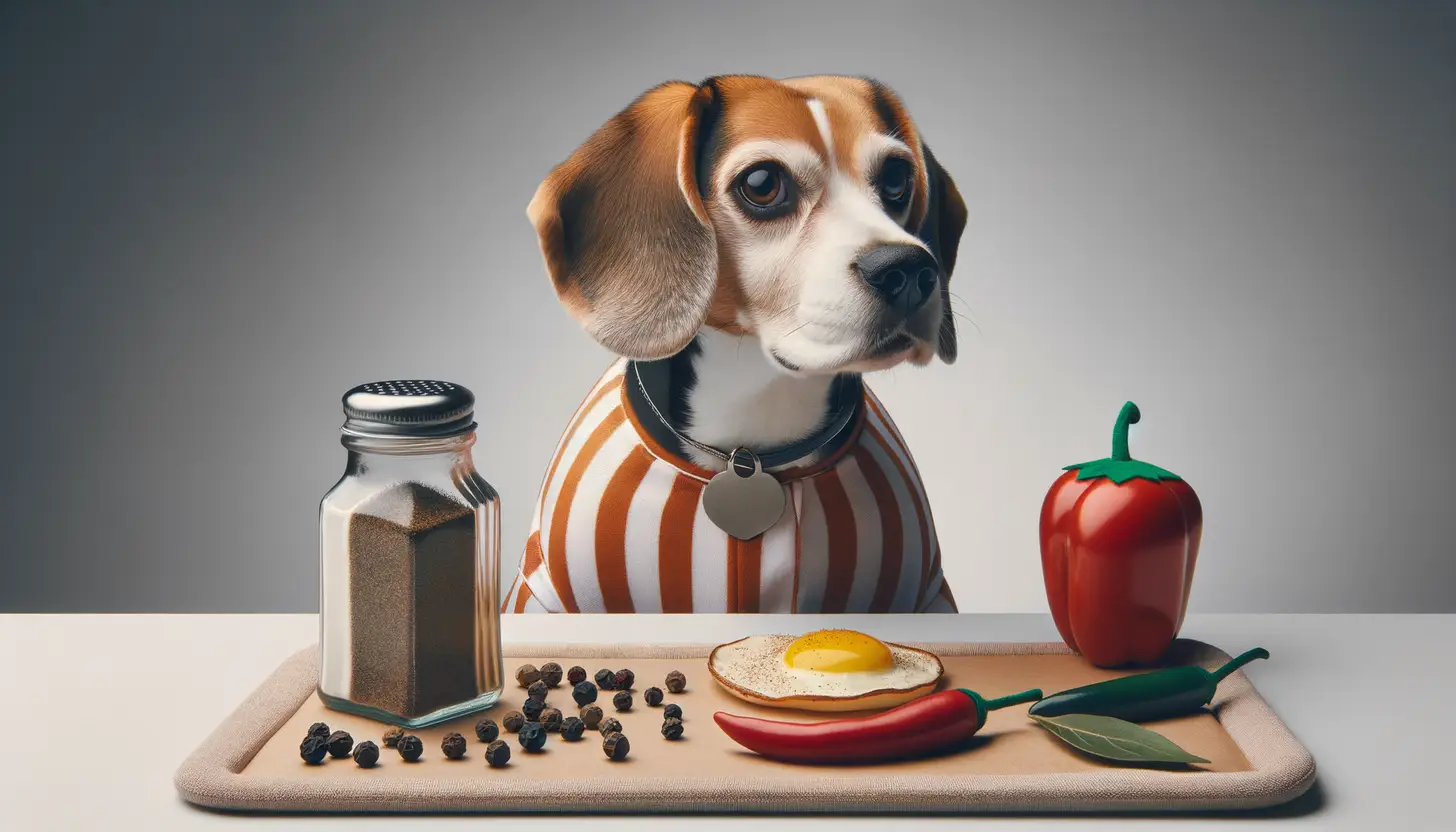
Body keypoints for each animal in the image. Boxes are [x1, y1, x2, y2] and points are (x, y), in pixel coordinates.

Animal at [500, 75, 966, 614]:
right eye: (762, 184)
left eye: (896, 179)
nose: (909, 270)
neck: (750, 452)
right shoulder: (546, 598)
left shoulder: (919, 593)